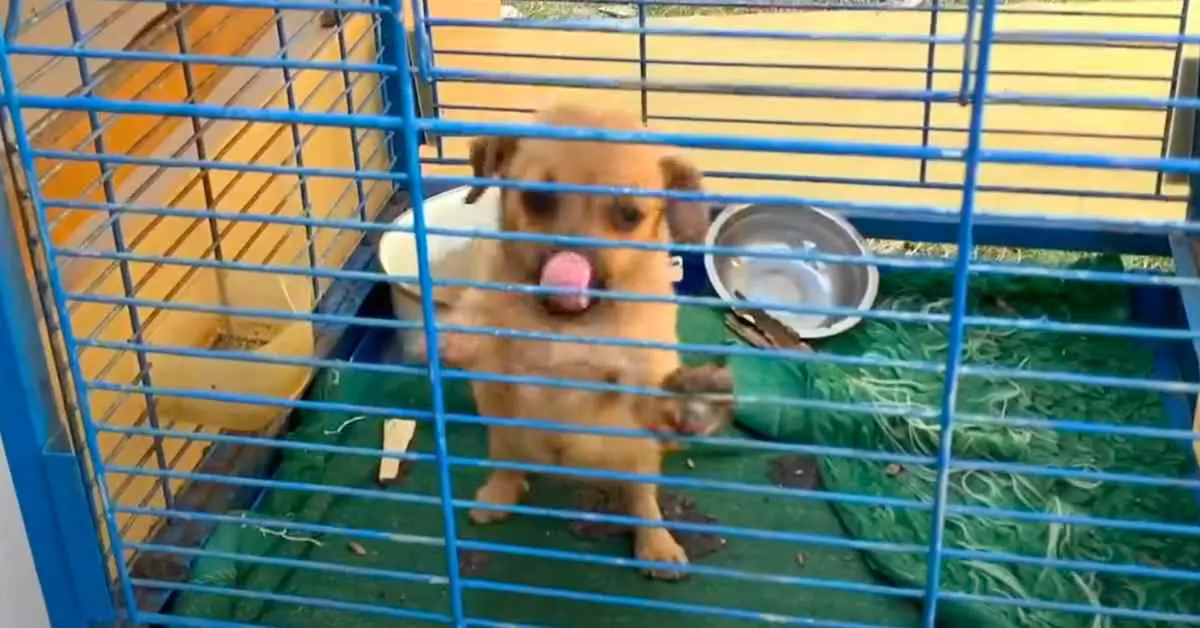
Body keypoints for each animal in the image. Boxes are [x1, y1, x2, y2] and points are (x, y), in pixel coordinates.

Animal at [420, 103, 729, 581]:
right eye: (537, 198)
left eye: (629, 214)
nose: (570, 264)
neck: (566, 325)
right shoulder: (495, 358)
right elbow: (484, 331)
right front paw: (451, 339)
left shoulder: (635, 378)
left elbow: (643, 391)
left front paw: (687, 404)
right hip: (504, 433)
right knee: (508, 464)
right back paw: (497, 496)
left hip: (637, 457)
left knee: (642, 497)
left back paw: (656, 544)